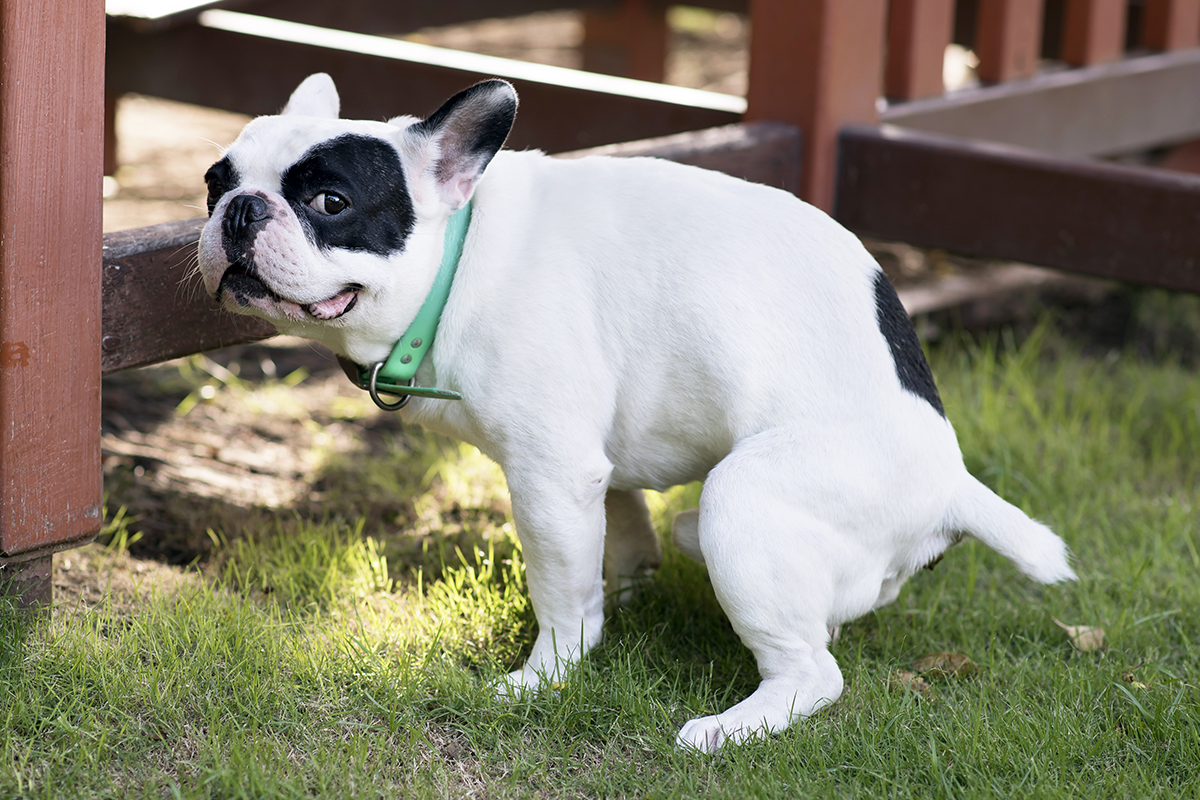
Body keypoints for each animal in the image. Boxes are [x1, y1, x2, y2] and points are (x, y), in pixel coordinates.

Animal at [196, 73, 1080, 753]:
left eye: (330, 201)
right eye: (214, 181)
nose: (239, 209)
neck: (462, 256)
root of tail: (951, 482)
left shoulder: (551, 475)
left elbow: (558, 586)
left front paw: (548, 673)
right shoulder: (596, 466)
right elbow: (616, 538)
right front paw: (619, 604)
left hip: (742, 504)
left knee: (813, 671)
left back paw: (731, 728)